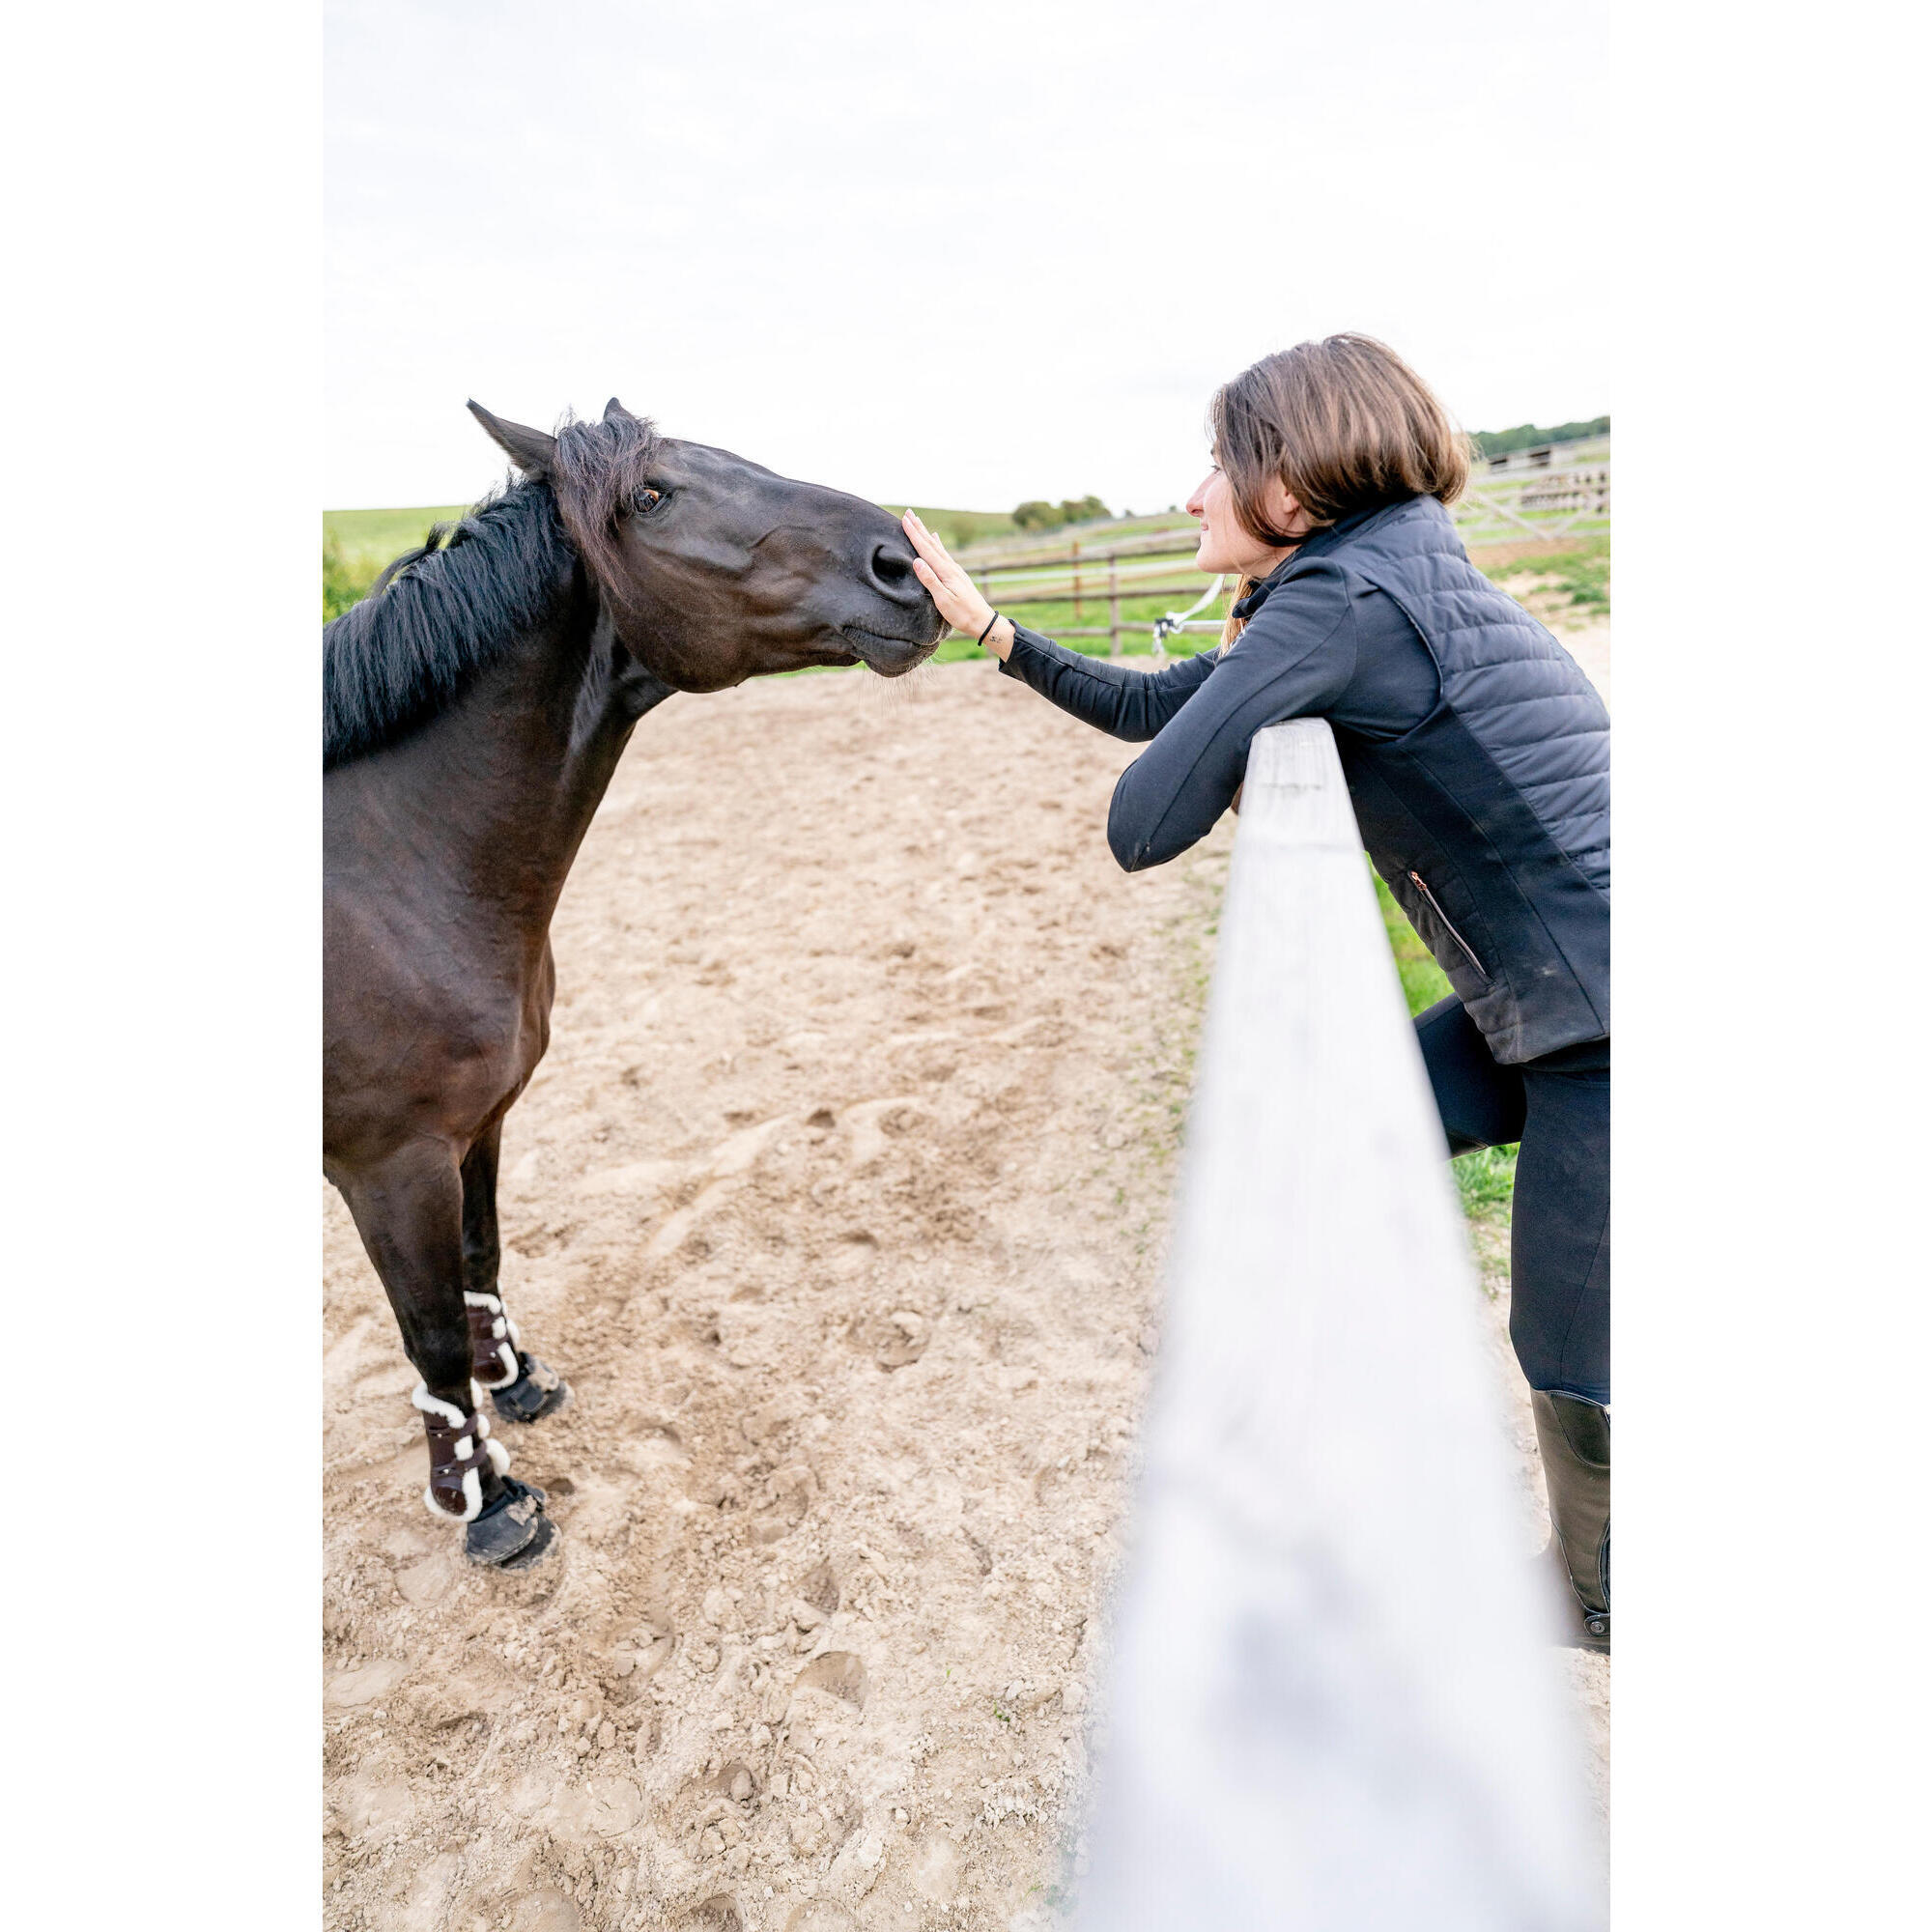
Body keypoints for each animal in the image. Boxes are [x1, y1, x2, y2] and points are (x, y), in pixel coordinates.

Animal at [325, 400, 943, 1561]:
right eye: (650, 494)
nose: (905, 563)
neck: (390, 869)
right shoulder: (392, 1165)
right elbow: (429, 1333)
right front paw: (487, 1503)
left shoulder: (480, 1127)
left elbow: (482, 1258)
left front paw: (518, 1385)